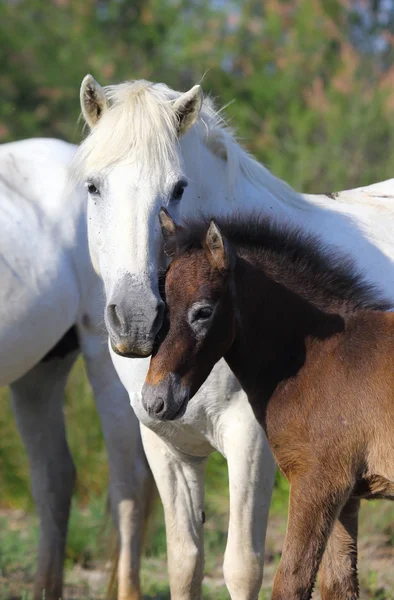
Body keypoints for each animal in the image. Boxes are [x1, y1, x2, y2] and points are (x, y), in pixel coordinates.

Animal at [143, 207, 394, 600]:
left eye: (203, 312)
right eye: (162, 304)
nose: (154, 400)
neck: (326, 358)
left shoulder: (318, 482)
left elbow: (291, 581)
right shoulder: (347, 494)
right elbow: (338, 584)